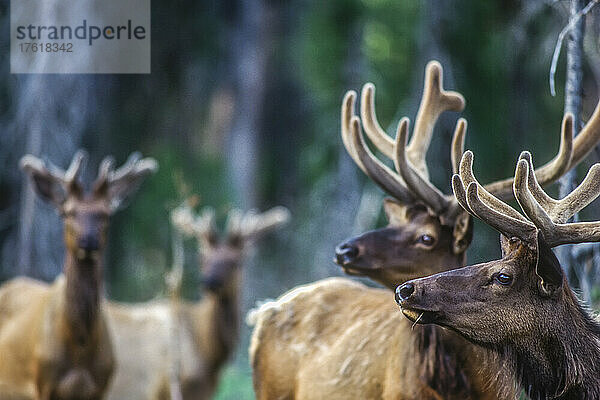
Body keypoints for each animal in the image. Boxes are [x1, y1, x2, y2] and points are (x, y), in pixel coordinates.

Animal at [0, 151, 157, 400]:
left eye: (105, 214)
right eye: (69, 212)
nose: (88, 241)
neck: (80, 345)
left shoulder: (101, 386)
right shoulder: (44, 384)